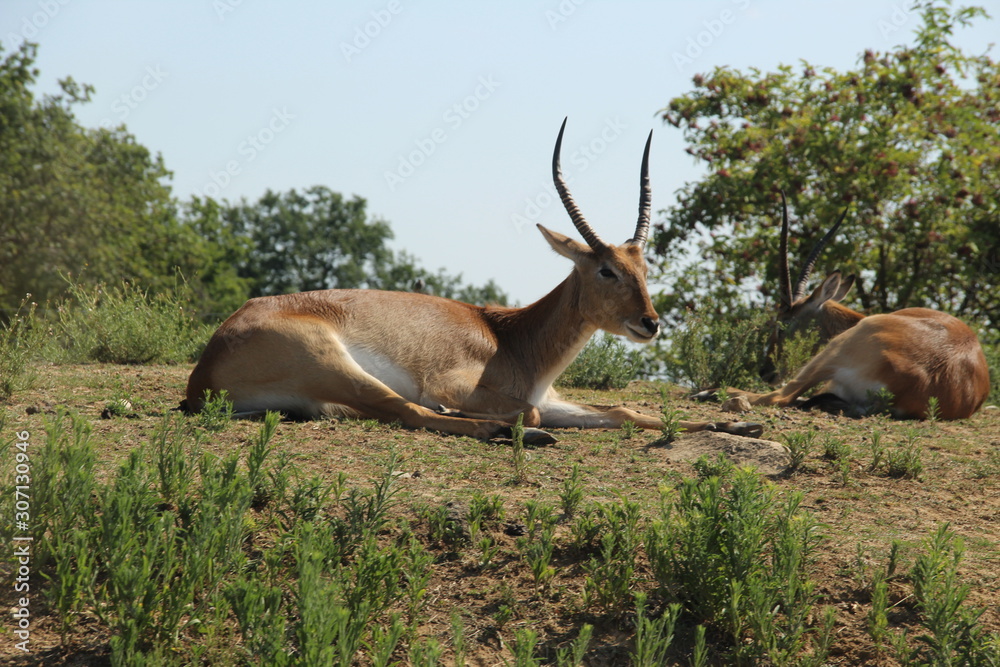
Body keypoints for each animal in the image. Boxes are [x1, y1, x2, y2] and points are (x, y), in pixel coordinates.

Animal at [186, 120, 764, 444]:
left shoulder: (554, 395)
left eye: (644, 268)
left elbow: (624, 409)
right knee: (411, 410)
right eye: (606, 269)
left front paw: (738, 425)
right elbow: (519, 406)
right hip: (338, 365)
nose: (650, 323)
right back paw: (513, 433)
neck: (512, 338)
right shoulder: (460, 383)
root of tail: (205, 368)